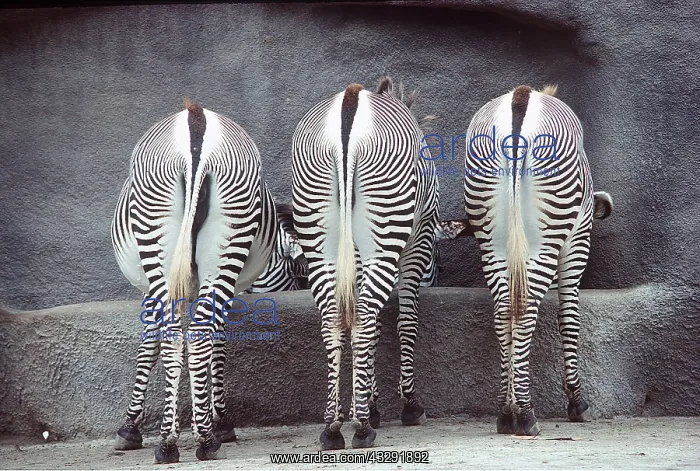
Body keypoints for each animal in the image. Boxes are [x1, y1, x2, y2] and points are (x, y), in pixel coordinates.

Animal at [111, 100, 278, 463]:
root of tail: (195, 120)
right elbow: (201, 342)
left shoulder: (149, 289)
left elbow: (152, 344)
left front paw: (132, 427)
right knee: (188, 335)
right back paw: (180, 441)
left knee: (185, 335)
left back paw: (195, 440)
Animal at [292, 77, 439, 449]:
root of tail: (350, 104)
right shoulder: (418, 243)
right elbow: (406, 321)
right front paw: (406, 404)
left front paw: (369, 403)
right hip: (385, 231)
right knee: (364, 316)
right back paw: (360, 428)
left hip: (320, 239)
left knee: (336, 319)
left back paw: (332, 427)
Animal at [463, 84, 613, 436]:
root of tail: (522, 98)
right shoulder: (577, 240)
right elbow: (569, 317)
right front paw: (576, 402)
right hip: (545, 235)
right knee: (525, 312)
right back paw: (526, 414)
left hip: (491, 239)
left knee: (504, 313)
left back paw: (506, 413)